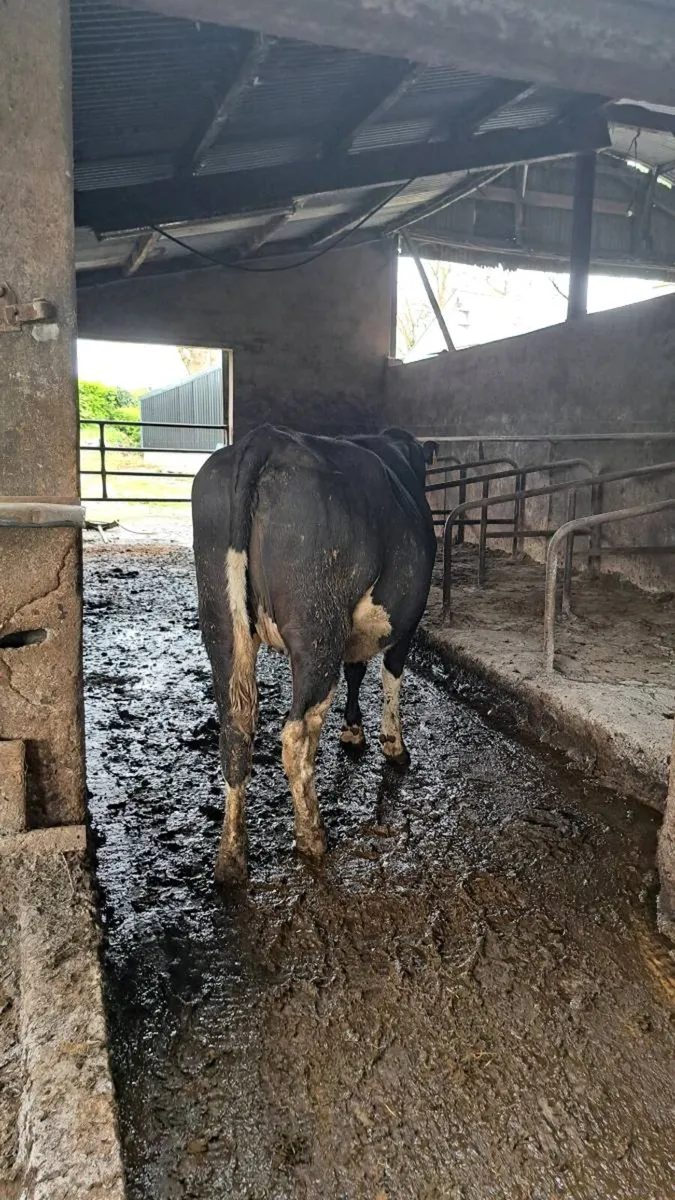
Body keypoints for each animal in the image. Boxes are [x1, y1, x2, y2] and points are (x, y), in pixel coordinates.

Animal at [191, 424, 436, 883]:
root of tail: (265, 440)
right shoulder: (406, 622)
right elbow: (390, 676)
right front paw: (393, 745)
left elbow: (357, 671)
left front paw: (353, 731)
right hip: (317, 628)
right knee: (297, 734)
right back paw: (312, 836)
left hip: (222, 626)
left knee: (235, 730)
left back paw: (231, 858)